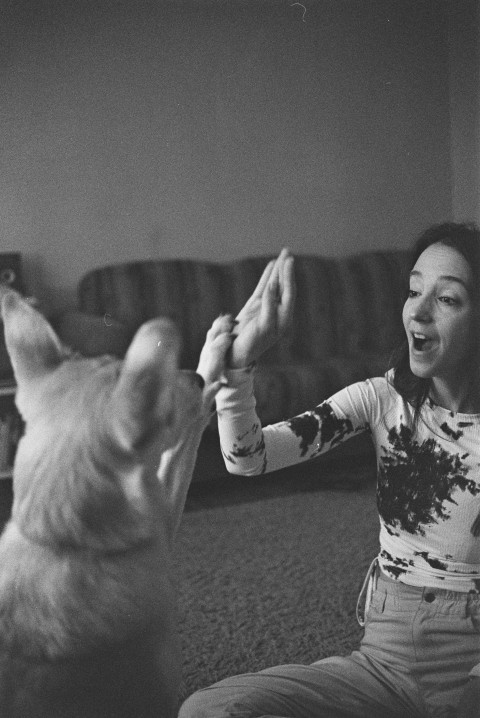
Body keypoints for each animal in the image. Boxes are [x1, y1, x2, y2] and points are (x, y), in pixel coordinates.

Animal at [0, 288, 233, 718]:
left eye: (124, 362)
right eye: (162, 403)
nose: (192, 377)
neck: (64, 541)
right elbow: (187, 438)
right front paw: (210, 374)